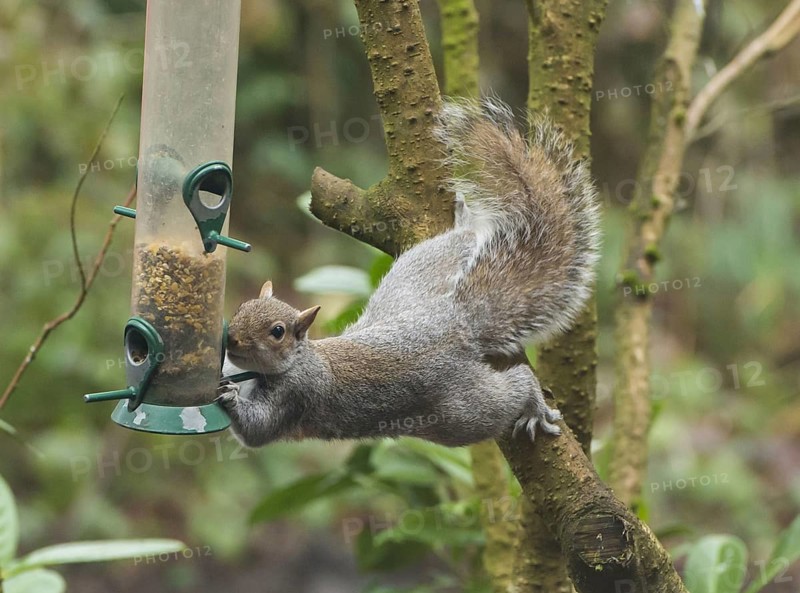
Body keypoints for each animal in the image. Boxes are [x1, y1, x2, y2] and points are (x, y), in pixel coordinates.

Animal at [217, 98, 601, 448]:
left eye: (277, 332)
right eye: (240, 309)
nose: (231, 338)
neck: (298, 359)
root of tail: (455, 320)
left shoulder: (297, 394)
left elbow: (257, 430)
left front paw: (230, 399)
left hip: (463, 413)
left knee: (511, 389)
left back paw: (534, 403)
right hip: (412, 277)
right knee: (459, 242)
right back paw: (466, 222)